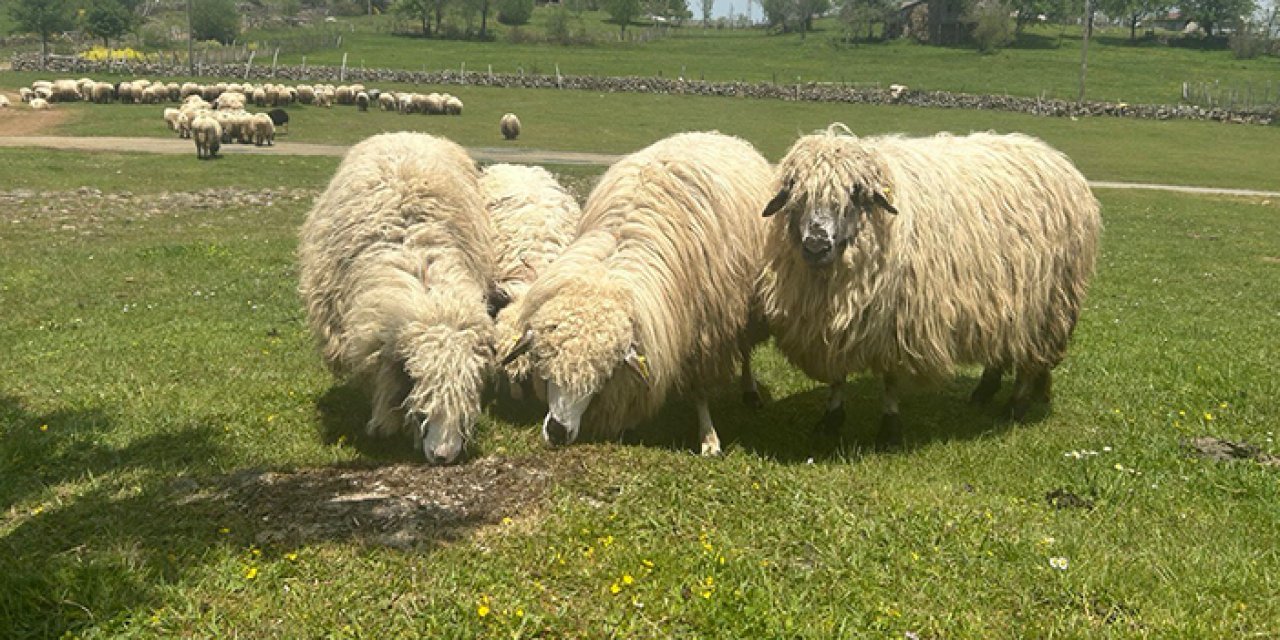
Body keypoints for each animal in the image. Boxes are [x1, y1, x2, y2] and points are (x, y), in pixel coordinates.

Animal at [499, 132, 768, 458]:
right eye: (543, 363)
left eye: (603, 375)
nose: (557, 433)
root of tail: (712, 134)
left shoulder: (705, 331)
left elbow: (699, 390)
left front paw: (709, 438)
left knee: (745, 350)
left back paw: (750, 390)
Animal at [752, 123, 1105, 445]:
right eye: (795, 194)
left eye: (855, 193)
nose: (816, 245)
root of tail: (1055, 157)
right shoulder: (831, 323)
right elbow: (837, 375)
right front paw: (831, 419)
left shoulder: (896, 321)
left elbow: (890, 379)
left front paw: (890, 429)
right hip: (1003, 298)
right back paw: (983, 391)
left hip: (1047, 304)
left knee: (1030, 357)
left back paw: (1015, 406)